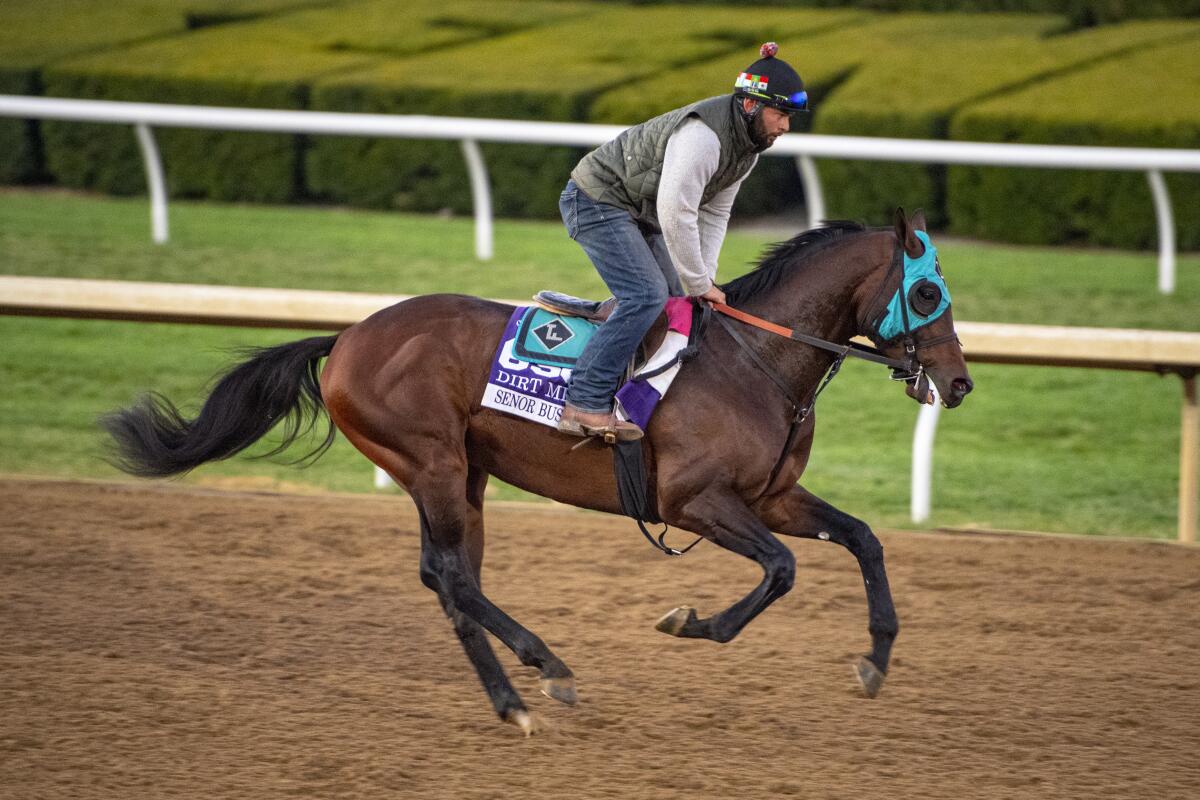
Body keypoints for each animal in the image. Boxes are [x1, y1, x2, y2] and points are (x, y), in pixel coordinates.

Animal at [103, 208, 974, 738]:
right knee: (451, 577)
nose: (960, 383)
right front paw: (692, 622)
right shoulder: (694, 500)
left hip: (463, 476)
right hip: (432, 462)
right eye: (929, 288)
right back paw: (545, 665)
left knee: (448, 579)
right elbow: (784, 569)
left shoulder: (774, 495)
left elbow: (861, 539)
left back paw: (513, 700)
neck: (754, 361)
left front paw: (876, 659)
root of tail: (346, 337)